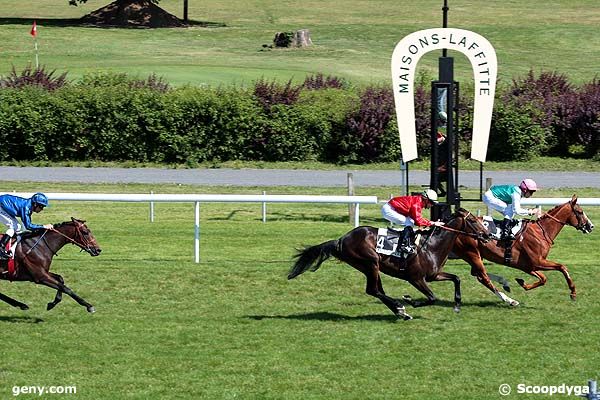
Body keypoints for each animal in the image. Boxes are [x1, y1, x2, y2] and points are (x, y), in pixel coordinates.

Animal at [288, 208, 490, 320]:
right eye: (473, 221)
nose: (487, 235)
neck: (432, 246)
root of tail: (341, 239)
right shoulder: (416, 278)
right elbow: (432, 298)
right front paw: (410, 300)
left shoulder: (433, 275)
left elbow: (456, 278)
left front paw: (457, 305)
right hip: (371, 262)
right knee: (373, 290)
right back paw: (401, 308)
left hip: (369, 267)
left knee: (377, 290)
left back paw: (400, 312)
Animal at [452, 195, 592, 306]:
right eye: (580, 212)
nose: (591, 226)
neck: (541, 232)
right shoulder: (537, 262)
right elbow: (562, 267)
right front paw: (573, 292)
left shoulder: (528, 266)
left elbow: (543, 279)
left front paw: (522, 282)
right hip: (472, 253)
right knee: (483, 277)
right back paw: (510, 300)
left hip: (477, 254)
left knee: (477, 274)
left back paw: (505, 284)